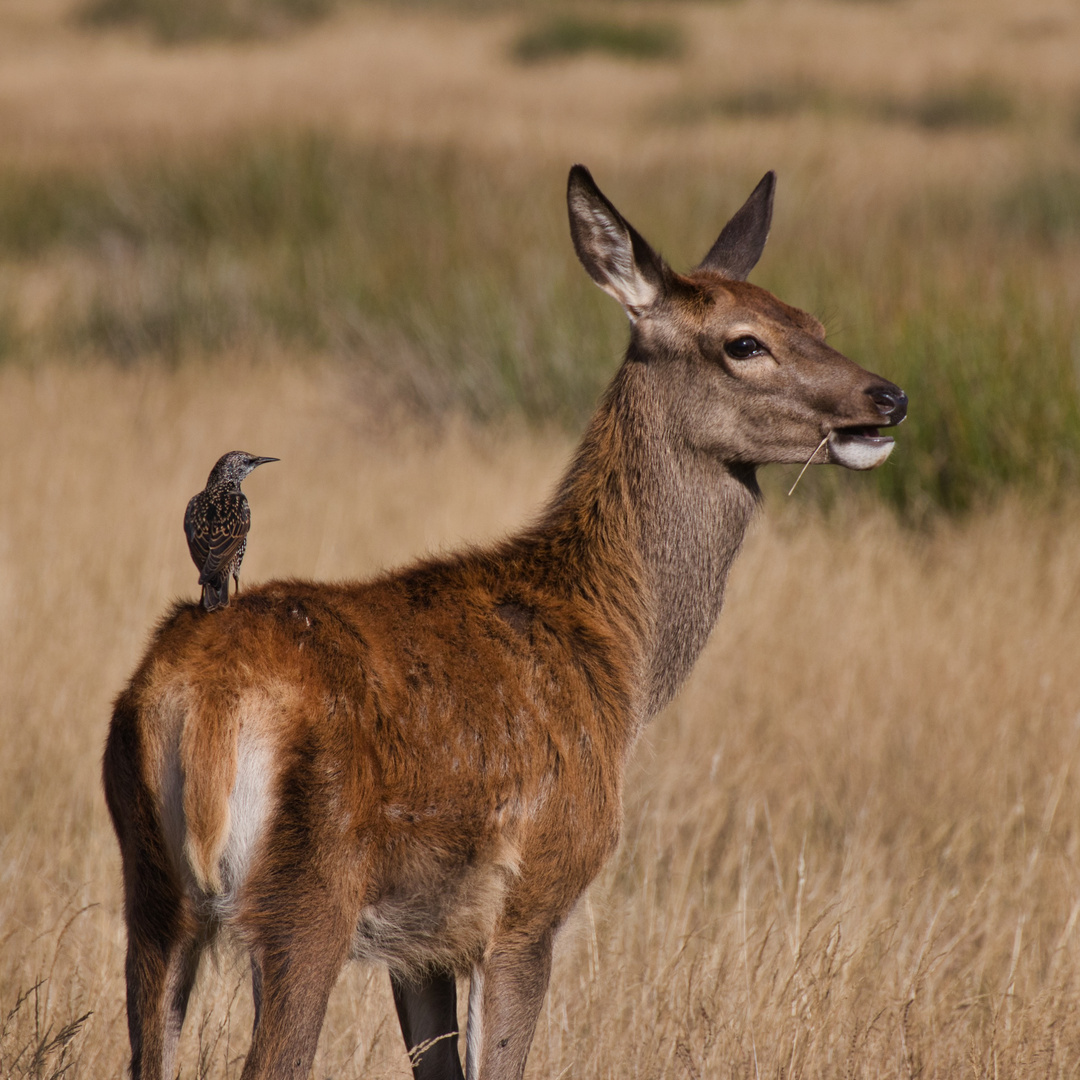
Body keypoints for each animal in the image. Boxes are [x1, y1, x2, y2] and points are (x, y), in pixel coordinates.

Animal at [105, 162, 907, 1080]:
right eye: (744, 343)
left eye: (811, 321)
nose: (889, 398)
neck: (617, 657)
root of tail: (197, 700)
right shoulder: (531, 900)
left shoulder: (419, 945)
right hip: (305, 895)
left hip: (150, 892)